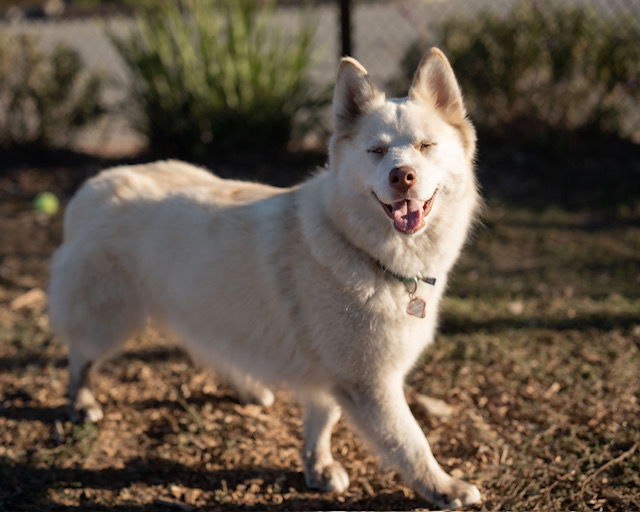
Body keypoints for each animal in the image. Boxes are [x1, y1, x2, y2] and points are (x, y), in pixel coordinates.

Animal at [48, 48, 480, 508]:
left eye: (426, 146)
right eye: (376, 151)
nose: (403, 176)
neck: (357, 246)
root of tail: (92, 188)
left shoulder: (334, 376)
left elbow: (322, 419)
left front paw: (317, 466)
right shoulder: (369, 383)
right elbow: (410, 442)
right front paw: (443, 487)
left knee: (210, 346)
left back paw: (250, 389)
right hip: (109, 322)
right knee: (80, 356)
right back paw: (82, 402)